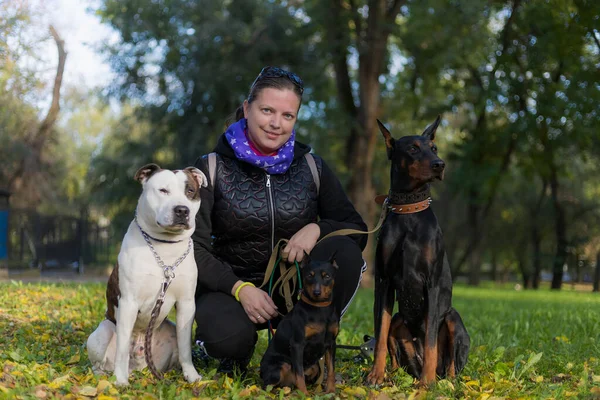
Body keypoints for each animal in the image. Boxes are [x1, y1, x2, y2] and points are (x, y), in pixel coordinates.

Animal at [86, 164, 207, 386]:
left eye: (190, 191)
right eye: (163, 190)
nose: (182, 210)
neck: (165, 248)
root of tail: (139, 366)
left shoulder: (186, 304)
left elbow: (186, 346)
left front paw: (192, 376)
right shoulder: (128, 302)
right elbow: (122, 347)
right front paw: (121, 381)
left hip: (170, 329)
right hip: (102, 332)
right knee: (100, 363)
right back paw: (107, 376)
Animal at [260, 255, 340, 396]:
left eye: (327, 276)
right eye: (309, 275)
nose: (317, 292)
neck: (320, 308)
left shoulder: (331, 343)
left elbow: (331, 369)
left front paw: (331, 391)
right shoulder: (297, 344)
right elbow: (299, 373)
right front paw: (304, 395)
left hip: (314, 367)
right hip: (280, 366)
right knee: (267, 385)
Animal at [366, 117, 468, 386]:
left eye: (434, 148)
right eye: (412, 148)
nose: (439, 164)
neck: (408, 210)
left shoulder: (432, 284)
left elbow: (431, 340)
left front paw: (426, 384)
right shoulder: (383, 282)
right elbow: (380, 334)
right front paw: (375, 375)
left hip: (452, 317)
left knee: (451, 364)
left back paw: (442, 380)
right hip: (399, 321)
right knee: (394, 348)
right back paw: (392, 374)